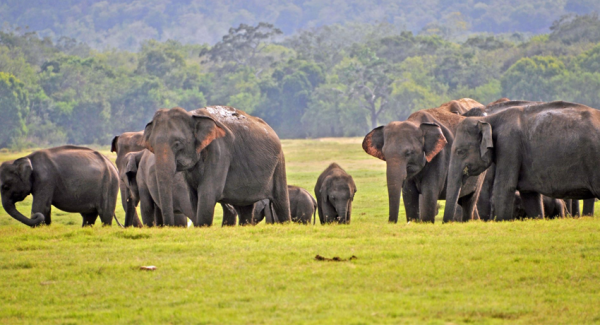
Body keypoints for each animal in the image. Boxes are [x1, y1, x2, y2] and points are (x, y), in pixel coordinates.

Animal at [142, 106, 290, 225]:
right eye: (151, 146)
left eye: (177, 143)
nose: (167, 225)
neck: (192, 115)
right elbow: (194, 197)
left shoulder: (220, 151)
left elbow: (207, 193)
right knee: (245, 209)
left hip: (279, 163)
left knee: (281, 201)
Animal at [360, 97, 488, 221]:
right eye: (385, 154)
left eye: (409, 153)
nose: (392, 222)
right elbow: (409, 195)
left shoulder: (439, 157)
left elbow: (429, 194)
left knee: (470, 200)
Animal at [442, 100, 600, 221]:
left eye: (460, 151)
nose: (447, 223)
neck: (491, 119)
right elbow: (529, 195)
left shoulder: (509, 145)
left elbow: (503, 188)